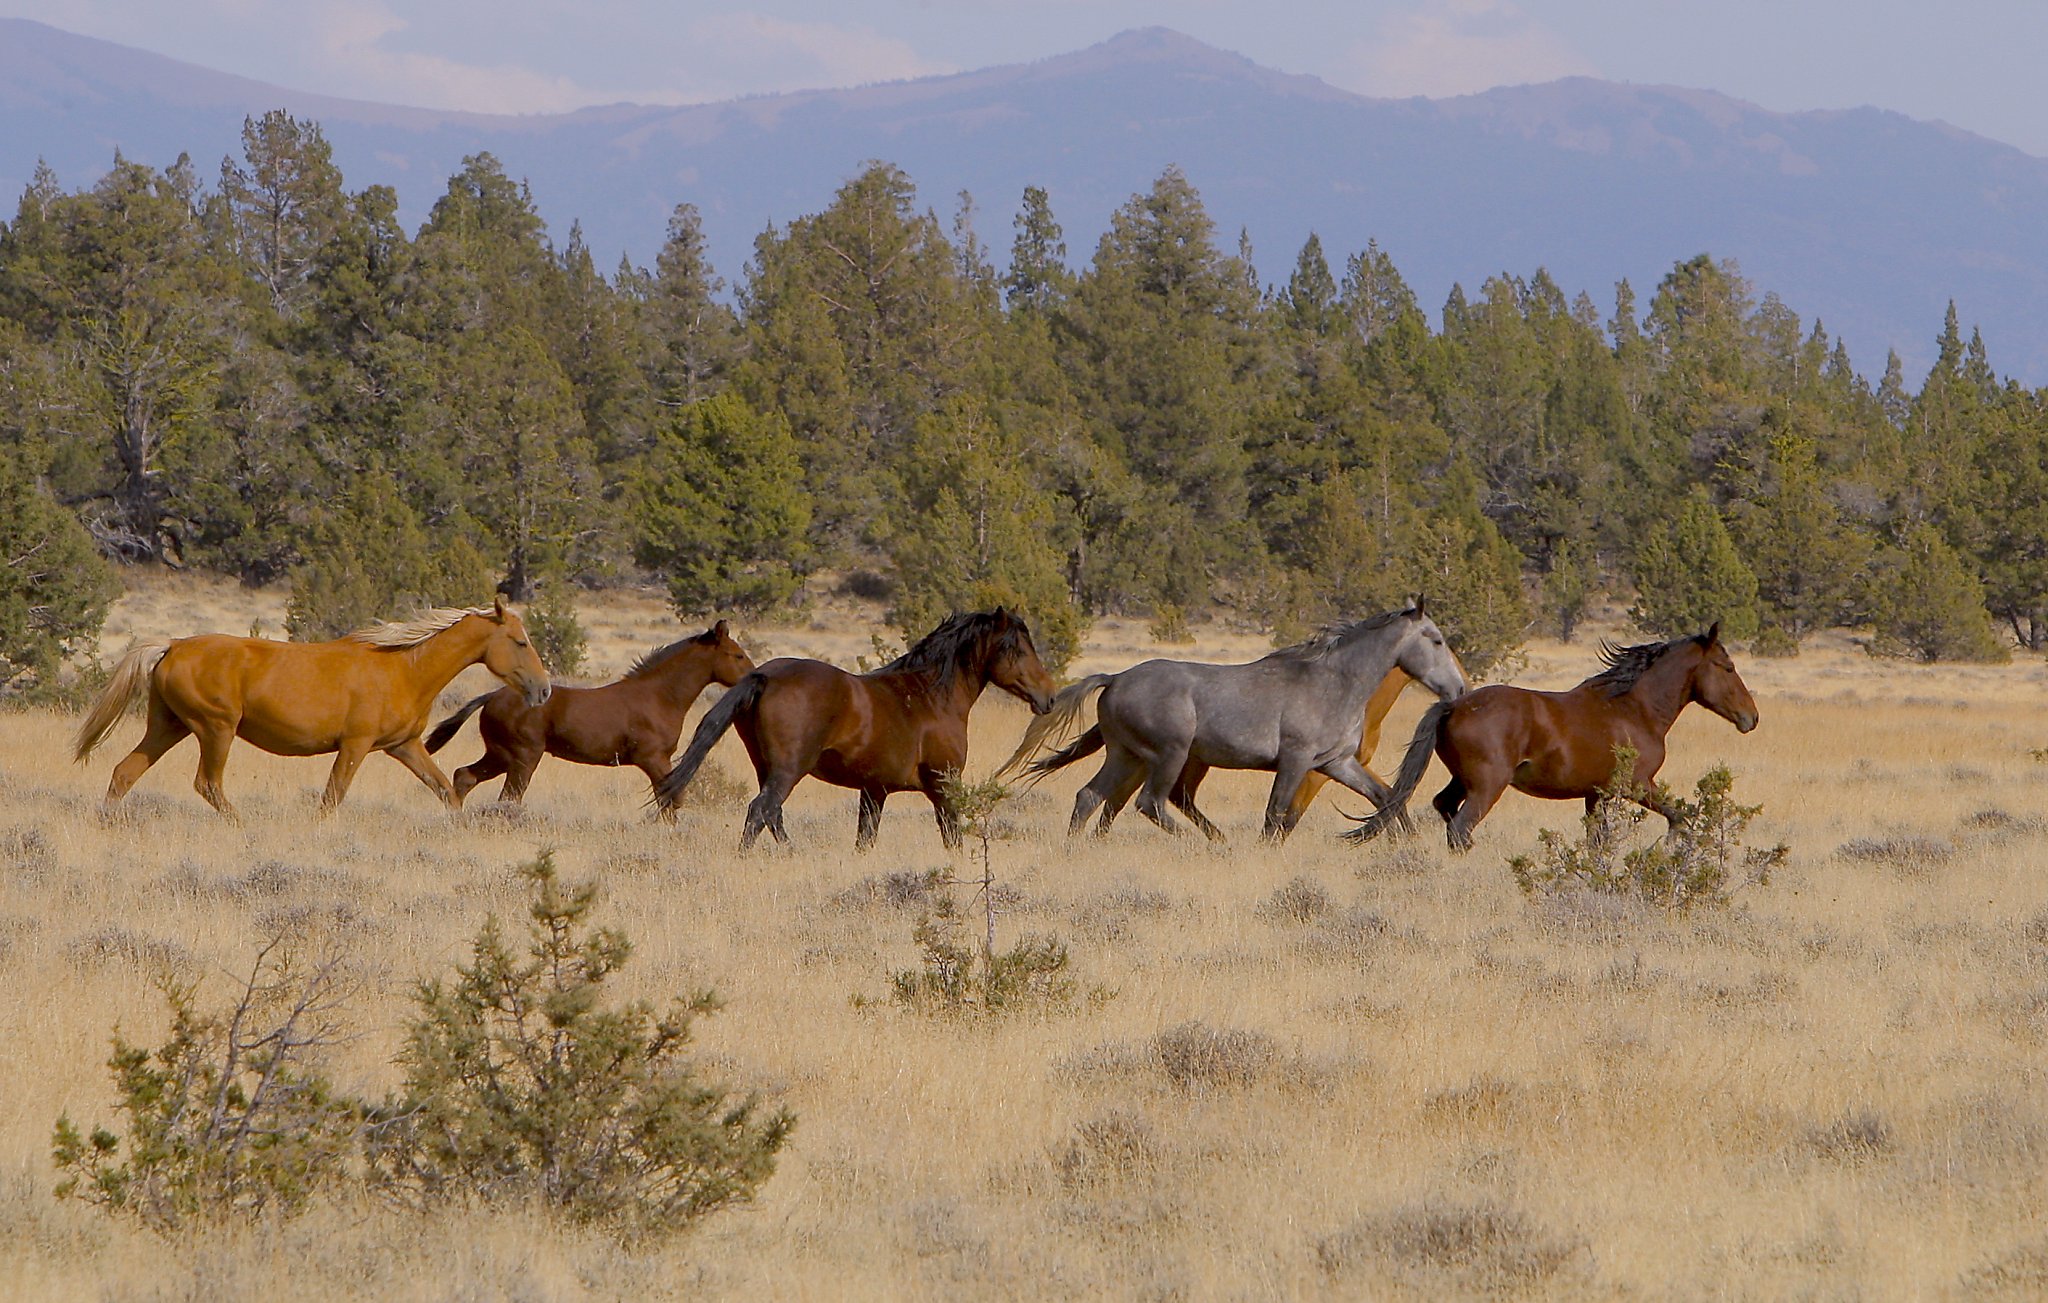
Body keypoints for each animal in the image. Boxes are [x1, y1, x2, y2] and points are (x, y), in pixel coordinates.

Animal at [73, 598, 552, 819]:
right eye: (520, 641)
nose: (545, 690)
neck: (404, 668)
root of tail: (172, 645)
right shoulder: (355, 746)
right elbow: (332, 797)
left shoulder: (405, 746)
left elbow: (446, 792)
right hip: (215, 729)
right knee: (207, 784)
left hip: (168, 726)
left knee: (124, 772)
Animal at [423, 614, 753, 811]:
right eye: (737, 655)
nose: (753, 675)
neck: (659, 696)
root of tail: (492, 696)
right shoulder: (654, 759)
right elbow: (671, 799)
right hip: (521, 757)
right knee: (507, 797)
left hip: (500, 755)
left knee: (465, 776)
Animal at [651, 606, 1056, 848]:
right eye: (1019, 650)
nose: (1049, 697)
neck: (930, 695)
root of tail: (765, 675)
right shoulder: (943, 785)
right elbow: (952, 836)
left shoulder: (874, 791)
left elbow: (865, 839)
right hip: (788, 771)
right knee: (759, 812)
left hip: (768, 769)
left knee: (773, 816)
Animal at [995, 602, 1466, 839]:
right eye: (1436, 640)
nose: (1460, 689)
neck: (1334, 682)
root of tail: (1115, 678)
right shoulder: (1296, 762)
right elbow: (1276, 815)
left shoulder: (1337, 763)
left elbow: (1385, 797)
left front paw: (1399, 842)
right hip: (1169, 755)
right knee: (1150, 803)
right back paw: (1207, 846)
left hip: (1125, 755)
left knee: (1090, 797)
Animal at [1343, 622, 1761, 848]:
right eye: (1727, 667)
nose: (1751, 718)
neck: (1633, 709)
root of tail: (1454, 705)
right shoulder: (1637, 785)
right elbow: (1679, 817)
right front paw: (1672, 845)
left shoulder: (1596, 795)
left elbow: (1596, 843)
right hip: (1487, 786)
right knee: (1460, 828)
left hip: (1462, 781)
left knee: (1445, 810)